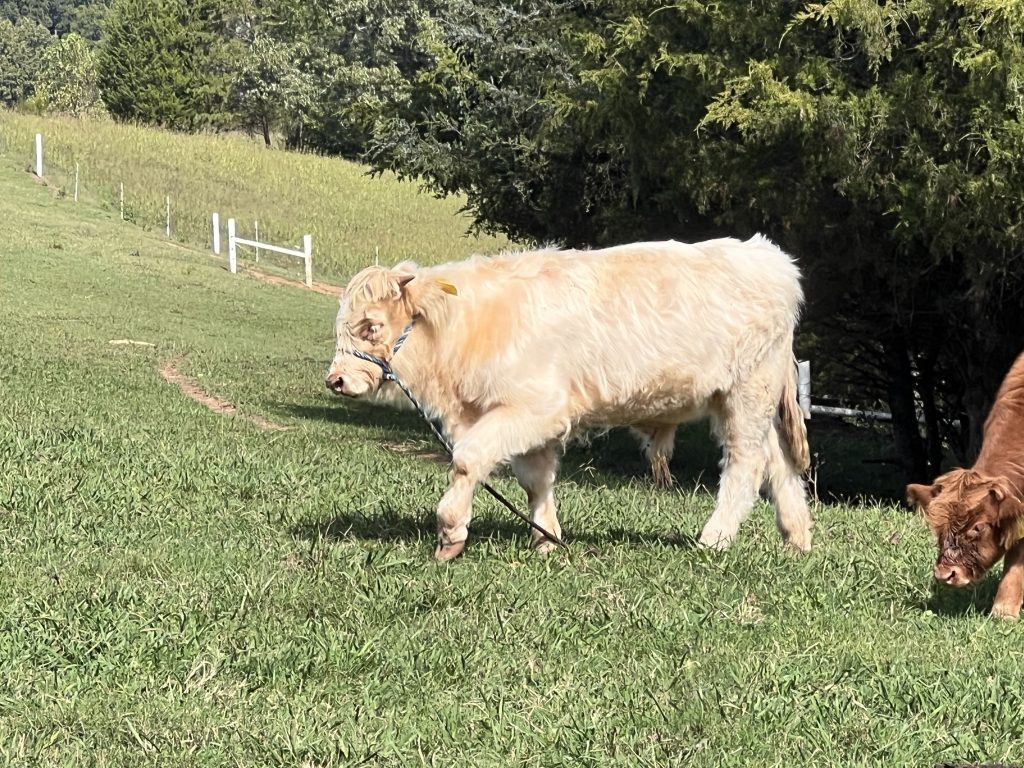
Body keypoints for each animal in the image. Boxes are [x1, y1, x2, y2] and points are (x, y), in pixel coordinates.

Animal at [325, 236, 813, 561]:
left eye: (371, 325)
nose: (336, 380)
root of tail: (769, 254)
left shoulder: (535, 408)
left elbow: (468, 459)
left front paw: (451, 532)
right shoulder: (522, 420)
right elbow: (534, 479)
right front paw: (546, 537)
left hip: (745, 395)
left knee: (746, 465)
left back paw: (715, 539)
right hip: (747, 400)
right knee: (779, 463)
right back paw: (797, 537)